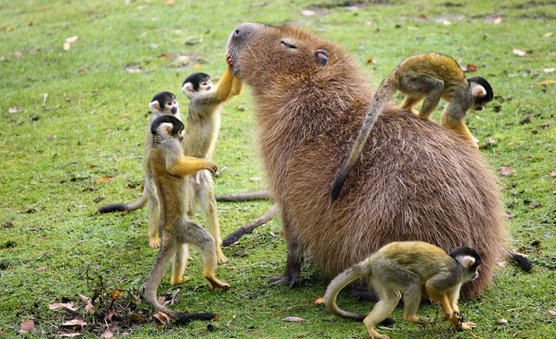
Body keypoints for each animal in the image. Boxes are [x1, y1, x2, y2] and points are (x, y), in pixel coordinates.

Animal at [97, 91, 180, 248]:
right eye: (169, 103)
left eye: (174, 102)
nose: (175, 106)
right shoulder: (153, 124)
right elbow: (149, 154)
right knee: (155, 199)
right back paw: (154, 236)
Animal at [179, 57, 244, 262]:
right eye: (204, 84)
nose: (209, 86)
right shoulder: (200, 101)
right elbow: (220, 94)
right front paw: (229, 63)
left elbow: (232, 92)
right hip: (186, 181)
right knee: (188, 210)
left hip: (203, 178)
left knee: (209, 207)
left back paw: (217, 250)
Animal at [324, 242, 480, 339]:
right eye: (476, 267)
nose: (477, 274)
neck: (458, 265)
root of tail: (372, 259)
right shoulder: (453, 274)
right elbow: (431, 285)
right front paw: (448, 314)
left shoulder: (457, 281)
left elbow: (453, 303)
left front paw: (461, 324)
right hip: (387, 267)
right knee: (413, 282)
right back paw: (410, 317)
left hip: (380, 273)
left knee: (391, 297)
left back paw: (368, 323)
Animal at [328, 52, 494, 202]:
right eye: (482, 102)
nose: (481, 109)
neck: (468, 87)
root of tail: (396, 73)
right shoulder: (463, 99)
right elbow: (450, 118)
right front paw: (472, 143)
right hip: (411, 80)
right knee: (437, 85)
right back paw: (423, 117)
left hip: (408, 84)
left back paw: (407, 109)